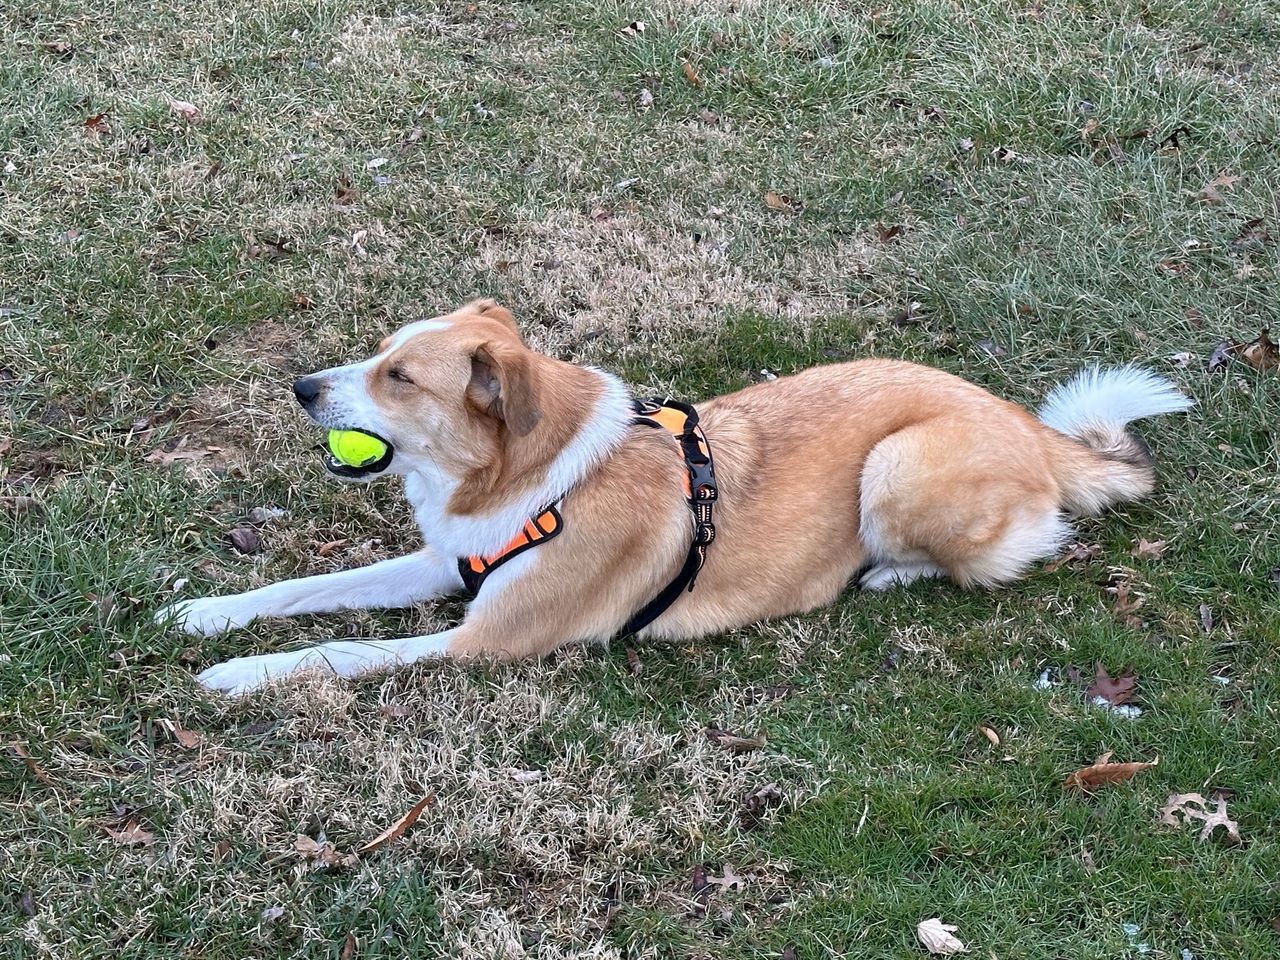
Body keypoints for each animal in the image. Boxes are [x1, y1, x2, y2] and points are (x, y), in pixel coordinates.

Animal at [160, 296, 1187, 696]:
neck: (532, 481)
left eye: (400, 378)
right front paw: (208, 615)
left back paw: (888, 573)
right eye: (379, 356)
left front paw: (237, 674)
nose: (301, 388)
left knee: (1021, 547)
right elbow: (308, 592)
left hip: (897, 468)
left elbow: (337, 649)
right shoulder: (444, 563)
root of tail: (1029, 427)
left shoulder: (485, 640)